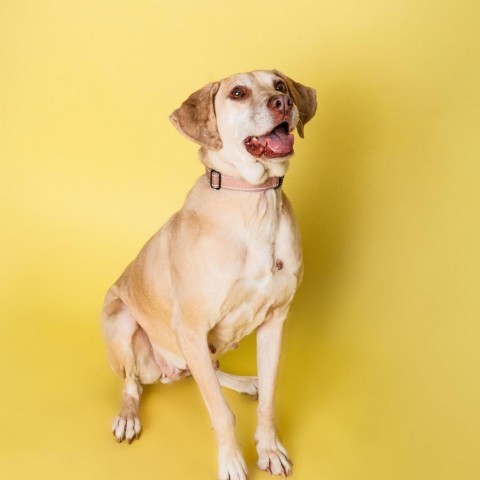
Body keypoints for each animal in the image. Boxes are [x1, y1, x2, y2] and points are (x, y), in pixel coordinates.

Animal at [102, 69, 316, 478]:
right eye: (238, 93)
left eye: (280, 85)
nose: (283, 102)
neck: (253, 200)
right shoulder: (191, 327)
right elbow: (222, 414)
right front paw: (232, 462)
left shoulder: (275, 321)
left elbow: (269, 400)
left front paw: (269, 449)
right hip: (122, 320)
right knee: (133, 384)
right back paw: (128, 417)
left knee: (207, 372)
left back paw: (245, 383)